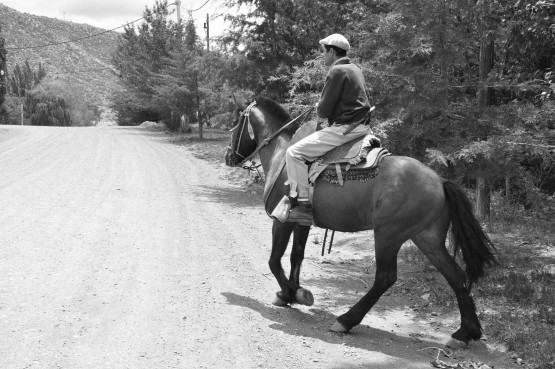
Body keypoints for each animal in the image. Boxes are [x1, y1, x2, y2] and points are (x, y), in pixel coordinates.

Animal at [224, 95, 498, 348]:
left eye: (236, 122)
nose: (228, 156)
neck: (282, 155)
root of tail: (440, 181)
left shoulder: (281, 221)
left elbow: (274, 261)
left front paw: (293, 293)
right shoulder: (301, 221)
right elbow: (296, 257)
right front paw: (291, 292)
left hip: (388, 235)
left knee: (385, 277)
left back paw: (346, 320)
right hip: (426, 237)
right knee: (455, 274)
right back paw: (466, 332)